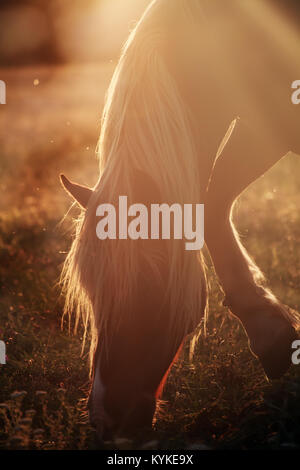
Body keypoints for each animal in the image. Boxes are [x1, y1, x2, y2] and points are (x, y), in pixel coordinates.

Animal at [59, 0, 298, 440]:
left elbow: (214, 202)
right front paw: (271, 334)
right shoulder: (260, 123)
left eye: (147, 286)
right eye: (91, 292)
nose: (105, 421)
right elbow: (211, 205)